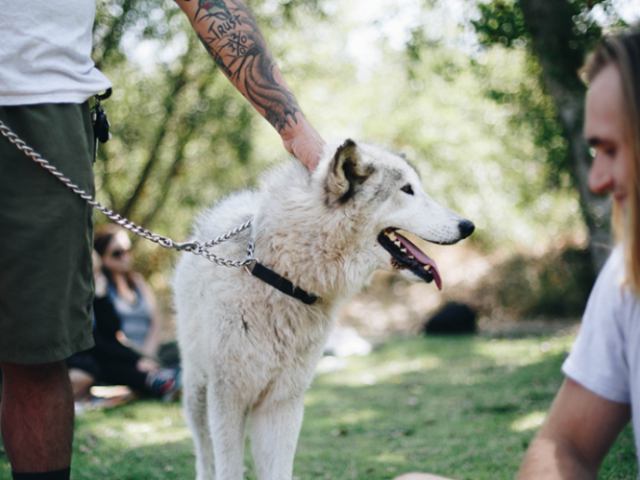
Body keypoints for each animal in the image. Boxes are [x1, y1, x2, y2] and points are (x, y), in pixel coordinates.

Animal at [172, 139, 474, 480]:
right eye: (407, 189)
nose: (469, 225)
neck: (281, 279)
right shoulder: (228, 400)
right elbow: (228, 469)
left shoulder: (283, 403)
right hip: (198, 393)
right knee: (204, 456)